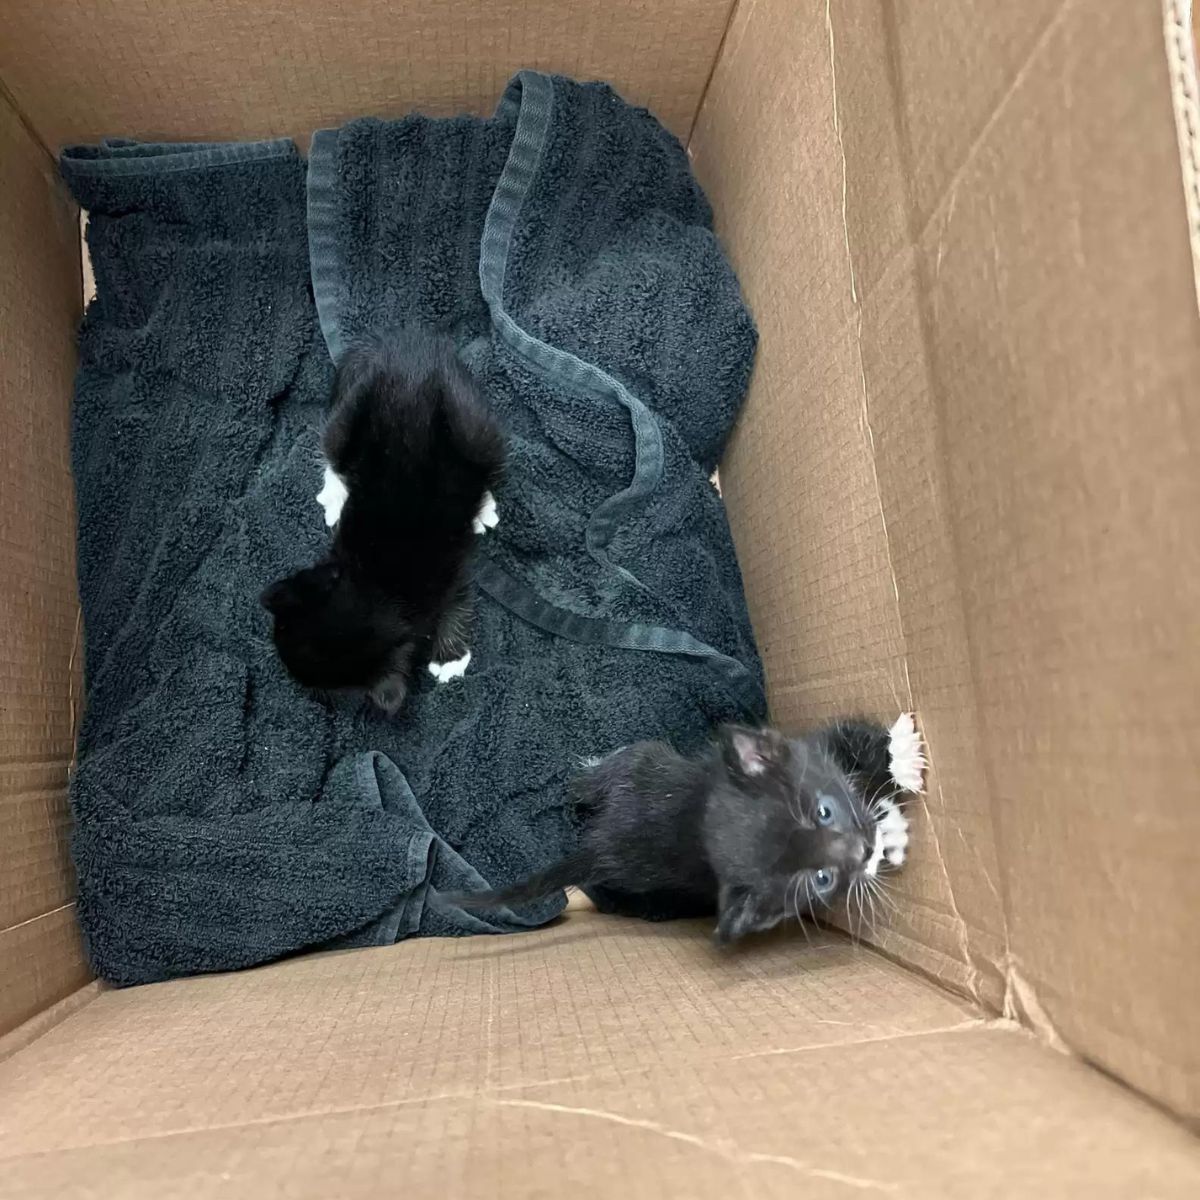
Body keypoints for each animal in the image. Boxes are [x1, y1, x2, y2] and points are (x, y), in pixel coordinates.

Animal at [260, 328, 504, 710]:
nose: (289, 673)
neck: (378, 587)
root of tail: (402, 348)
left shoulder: (451, 569)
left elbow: (459, 601)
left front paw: (450, 659)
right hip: (355, 408)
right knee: (333, 446)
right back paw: (335, 494)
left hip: (470, 419)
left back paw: (484, 506)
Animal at [451, 715, 926, 940]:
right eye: (820, 878)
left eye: (824, 812)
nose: (865, 851)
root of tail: (606, 842)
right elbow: (856, 737)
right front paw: (903, 758)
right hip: (644, 766)